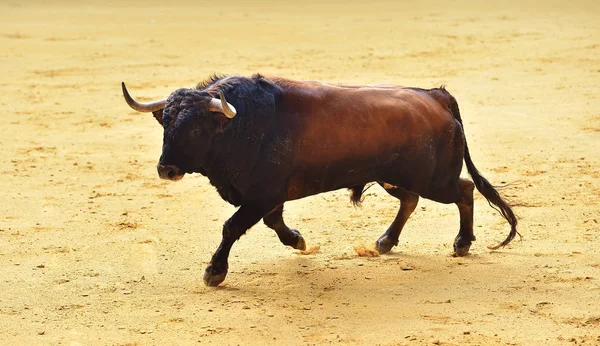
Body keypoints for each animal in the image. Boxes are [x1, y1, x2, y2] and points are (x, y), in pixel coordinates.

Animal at [123, 75, 520, 286]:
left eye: (195, 129)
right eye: (166, 124)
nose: (166, 170)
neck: (241, 125)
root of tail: (435, 96)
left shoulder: (260, 195)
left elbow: (232, 227)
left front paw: (214, 272)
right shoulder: (268, 196)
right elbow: (273, 222)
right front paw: (298, 241)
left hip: (434, 179)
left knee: (464, 190)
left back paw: (461, 244)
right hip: (395, 178)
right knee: (410, 200)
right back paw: (385, 243)